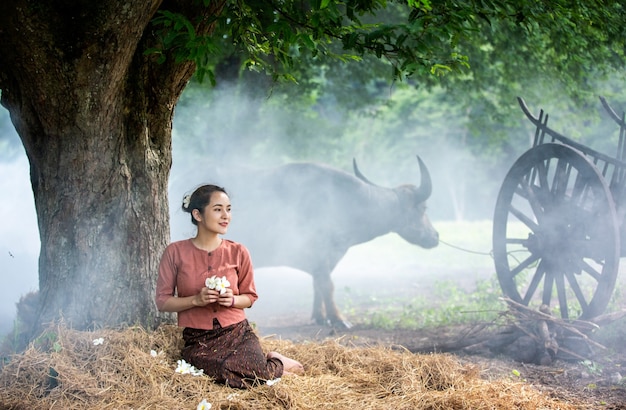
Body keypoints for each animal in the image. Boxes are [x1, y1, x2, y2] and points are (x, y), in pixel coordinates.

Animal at [210, 155, 438, 328]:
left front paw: (320, 317)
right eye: (423, 208)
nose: (435, 236)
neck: (349, 202)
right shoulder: (321, 253)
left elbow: (318, 285)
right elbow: (328, 285)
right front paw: (339, 319)